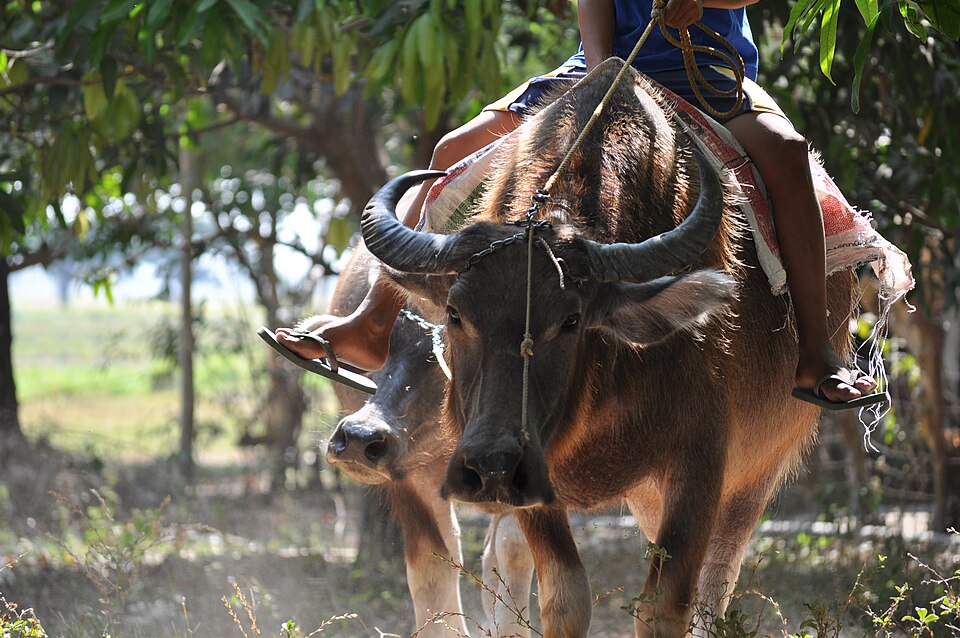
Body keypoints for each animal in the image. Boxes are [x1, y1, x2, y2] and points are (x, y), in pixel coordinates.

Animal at [317, 243, 534, 637]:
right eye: (376, 353)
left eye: (444, 356)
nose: (359, 439)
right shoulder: (413, 482)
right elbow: (434, 567)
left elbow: (513, 547)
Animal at [357, 59, 853, 637]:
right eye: (456, 314)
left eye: (570, 320)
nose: (490, 466)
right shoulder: (533, 480)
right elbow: (566, 596)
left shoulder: (701, 463)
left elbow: (665, 605)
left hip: (756, 475)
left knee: (717, 586)